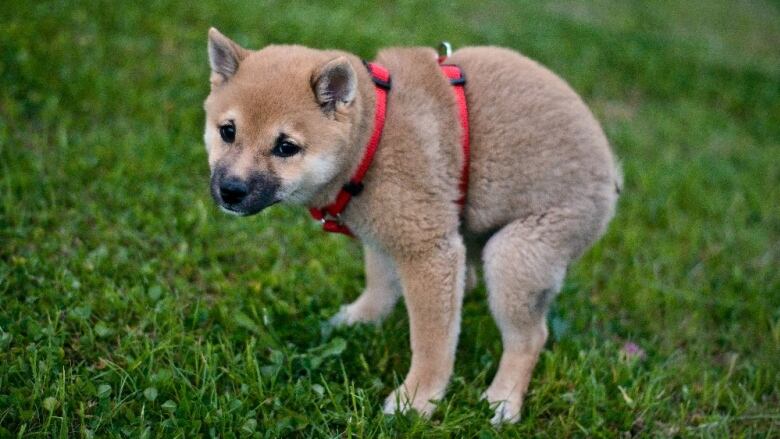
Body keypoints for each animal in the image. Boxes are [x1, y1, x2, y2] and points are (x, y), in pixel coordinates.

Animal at [203, 28, 620, 426]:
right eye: (228, 131)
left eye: (286, 147)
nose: (231, 190)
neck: (373, 136)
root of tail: (612, 172)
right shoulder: (385, 236)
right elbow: (379, 284)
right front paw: (359, 320)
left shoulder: (427, 249)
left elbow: (432, 342)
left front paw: (417, 400)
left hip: (516, 253)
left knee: (531, 338)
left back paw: (503, 401)